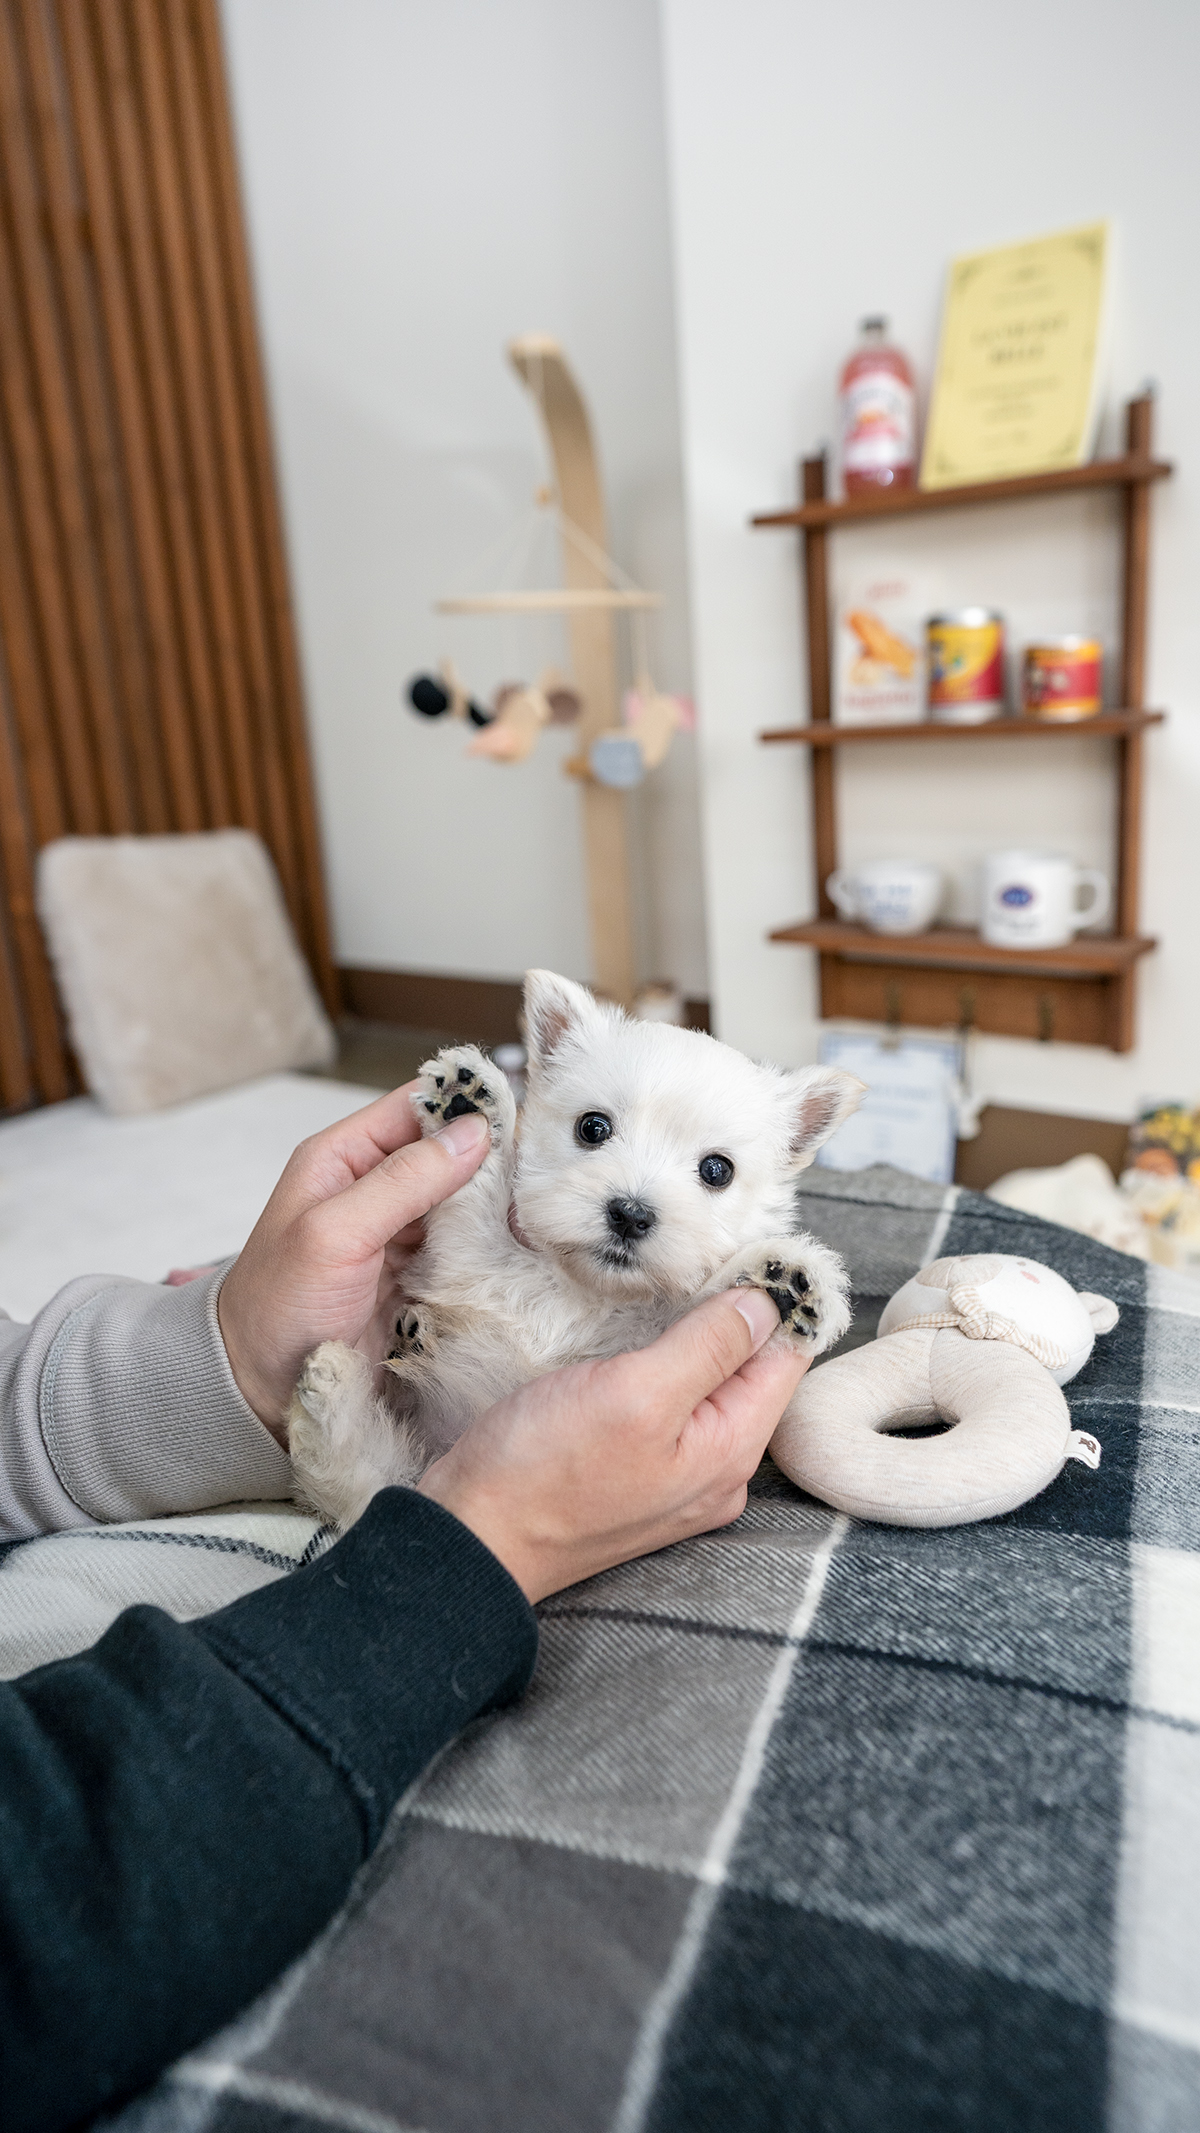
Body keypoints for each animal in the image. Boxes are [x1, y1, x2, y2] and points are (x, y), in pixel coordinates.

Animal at [294, 968, 873, 1535]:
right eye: (593, 1127)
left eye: (717, 1170)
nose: (631, 1214)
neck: (587, 1293)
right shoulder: (472, 1261)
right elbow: (477, 1198)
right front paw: (470, 1105)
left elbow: (692, 1301)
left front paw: (788, 1278)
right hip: (397, 1468)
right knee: (354, 1474)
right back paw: (334, 1382)